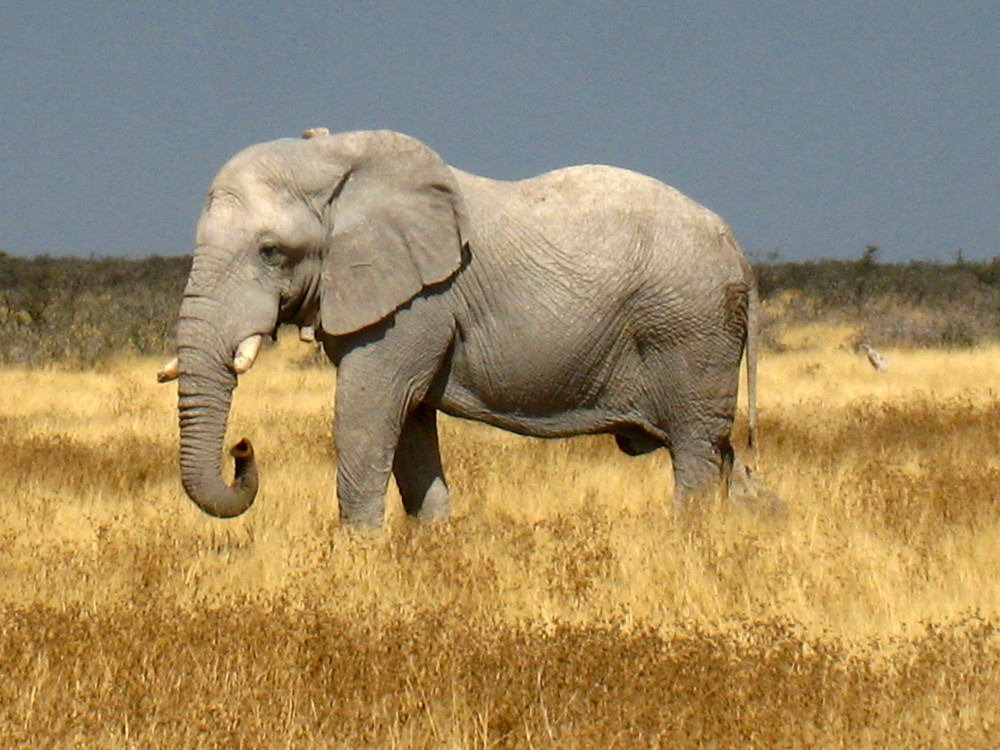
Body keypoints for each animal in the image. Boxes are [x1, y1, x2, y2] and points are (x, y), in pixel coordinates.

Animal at [162, 129, 764, 528]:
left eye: (271, 252)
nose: (242, 448)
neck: (336, 158)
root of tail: (740, 250)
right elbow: (409, 425)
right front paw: (433, 546)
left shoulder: (419, 302)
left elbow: (367, 410)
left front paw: (359, 556)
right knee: (720, 451)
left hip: (689, 327)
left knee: (695, 447)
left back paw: (687, 539)